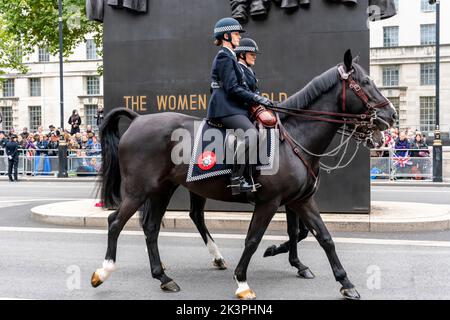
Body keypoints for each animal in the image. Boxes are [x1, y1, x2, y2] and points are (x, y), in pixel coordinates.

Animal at [90, 50, 394, 300]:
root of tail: (139, 119)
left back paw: (164, 276)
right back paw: (103, 271)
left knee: (152, 227)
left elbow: (323, 237)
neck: (294, 138)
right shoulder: (270, 202)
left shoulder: (301, 200)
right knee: (115, 222)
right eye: (365, 82)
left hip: (163, 190)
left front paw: (345, 283)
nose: (390, 115)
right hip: (138, 190)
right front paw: (243, 281)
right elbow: (254, 239)